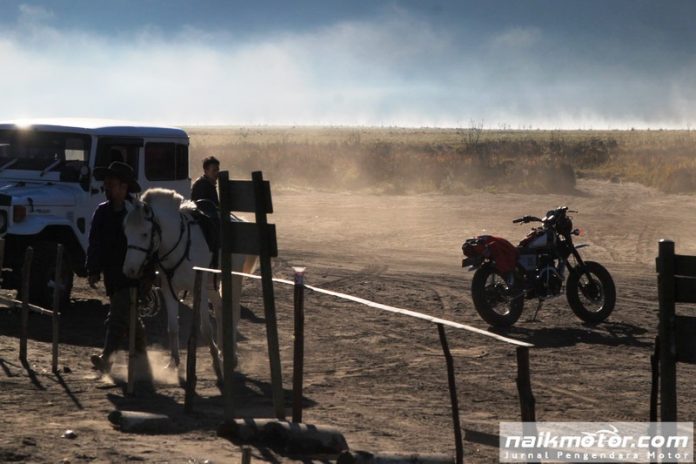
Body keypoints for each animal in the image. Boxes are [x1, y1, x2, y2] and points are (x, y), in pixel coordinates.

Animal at [122, 188, 258, 376]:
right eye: (126, 232)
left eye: (144, 234)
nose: (129, 270)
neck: (180, 246)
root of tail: (237, 220)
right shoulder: (169, 290)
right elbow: (172, 328)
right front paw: (173, 363)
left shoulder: (198, 291)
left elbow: (206, 329)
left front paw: (216, 364)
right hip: (212, 286)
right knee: (220, 310)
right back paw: (222, 351)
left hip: (233, 279)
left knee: (234, 314)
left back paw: (231, 356)